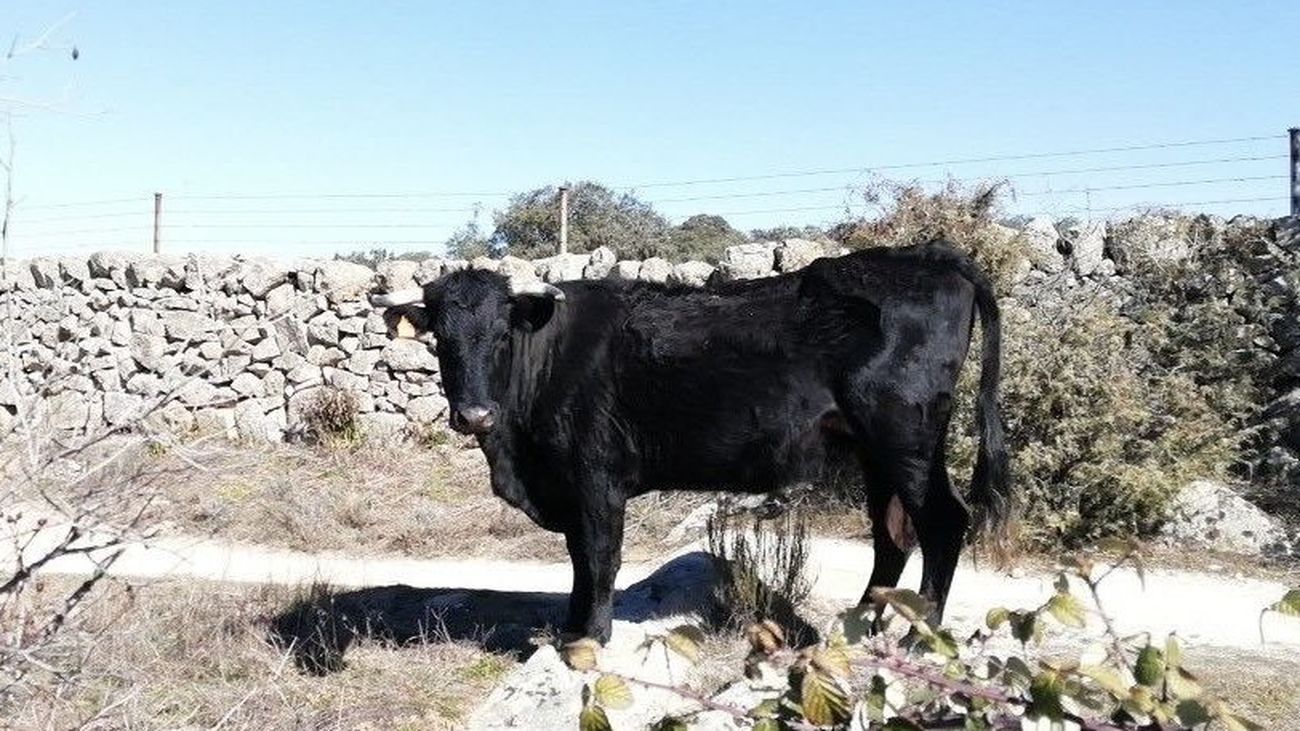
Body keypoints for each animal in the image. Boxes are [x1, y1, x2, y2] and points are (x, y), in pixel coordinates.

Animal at [370, 240, 1012, 643]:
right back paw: (862, 627)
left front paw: (592, 636)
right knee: (892, 533)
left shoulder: (595, 476)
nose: (474, 415)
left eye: (502, 334)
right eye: (441, 337)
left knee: (943, 522)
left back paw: (916, 637)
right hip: (874, 448)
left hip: (904, 435)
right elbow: (577, 558)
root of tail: (929, 255)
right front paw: (570, 628)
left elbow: (598, 556)